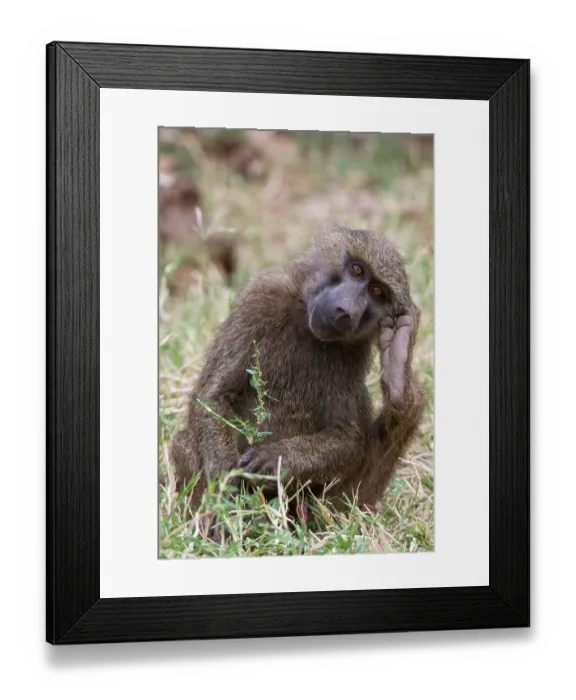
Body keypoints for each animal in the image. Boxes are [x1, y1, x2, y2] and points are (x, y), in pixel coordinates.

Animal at [168, 226, 426, 514]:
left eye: (378, 292)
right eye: (357, 270)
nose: (345, 310)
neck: (306, 324)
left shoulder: (352, 356)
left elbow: (347, 438)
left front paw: (274, 459)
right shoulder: (261, 298)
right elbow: (215, 396)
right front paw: (226, 498)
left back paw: (398, 378)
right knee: (185, 442)